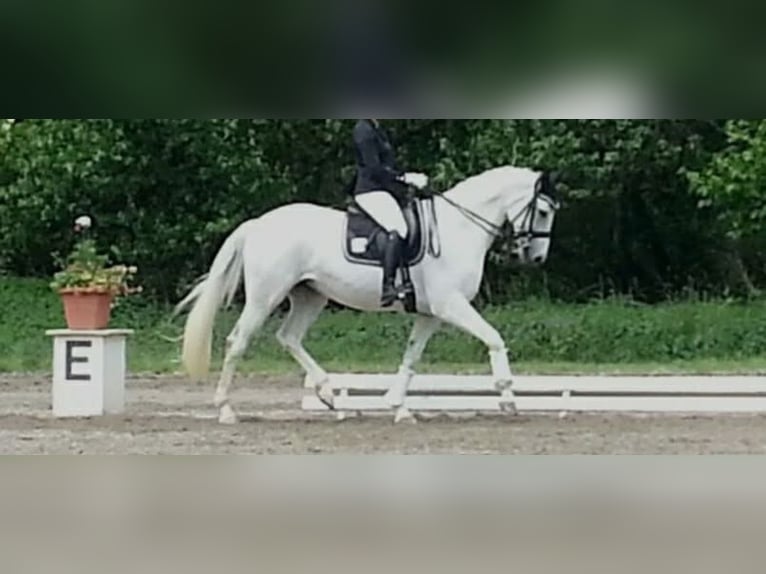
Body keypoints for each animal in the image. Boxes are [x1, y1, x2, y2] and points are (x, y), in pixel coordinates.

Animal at [176, 165, 560, 424]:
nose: (537, 259)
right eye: (542, 211)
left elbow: (412, 356)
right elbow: (494, 338)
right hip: (265, 296)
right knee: (238, 342)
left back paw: (330, 396)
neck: (459, 228)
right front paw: (507, 395)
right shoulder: (451, 305)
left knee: (289, 337)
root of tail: (257, 224)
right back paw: (226, 410)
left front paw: (399, 407)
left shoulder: (430, 314)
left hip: (310, 296)